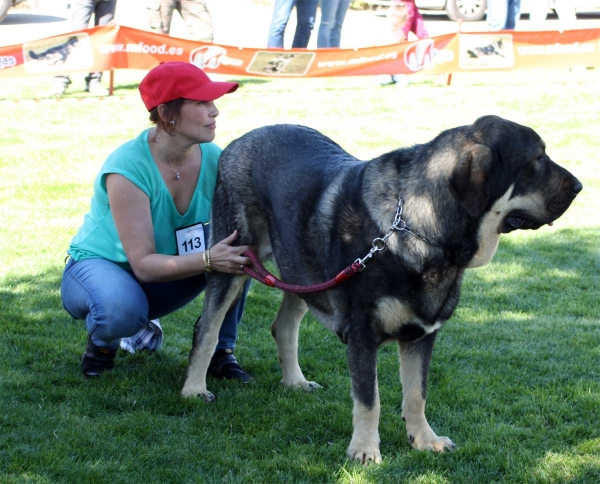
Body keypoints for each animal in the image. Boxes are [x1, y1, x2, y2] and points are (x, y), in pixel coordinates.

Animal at [182, 115, 580, 464]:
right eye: (536, 160)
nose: (579, 187)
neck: (419, 226)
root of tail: (239, 140)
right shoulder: (363, 333)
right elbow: (369, 400)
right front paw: (364, 450)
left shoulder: (422, 335)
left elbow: (417, 394)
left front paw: (425, 440)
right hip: (234, 260)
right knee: (207, 328)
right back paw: (193, 389)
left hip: (302, 269)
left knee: (283, 326)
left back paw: (295, 381)